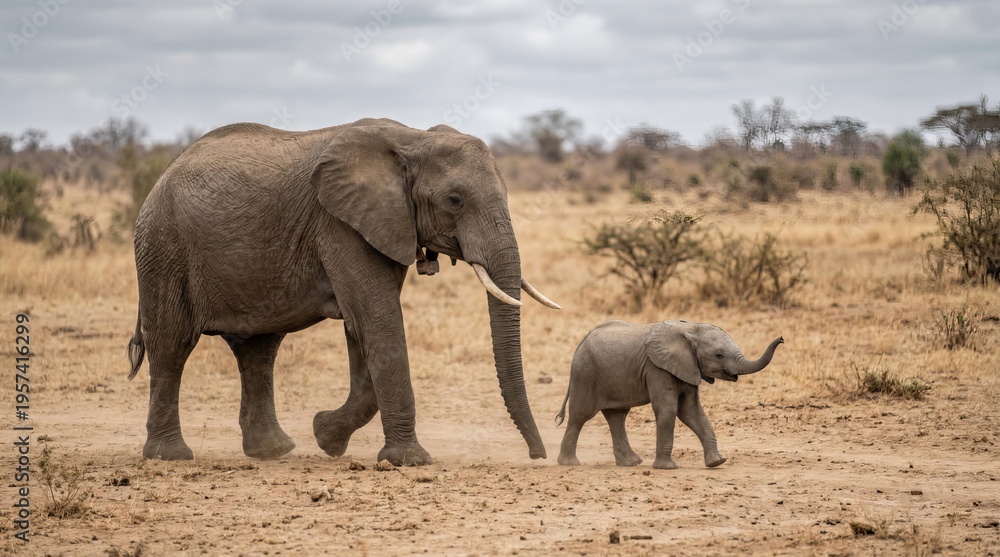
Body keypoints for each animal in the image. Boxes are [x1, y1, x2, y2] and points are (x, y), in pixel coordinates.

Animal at [126, 118, 560, 465]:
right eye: (455, 200)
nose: (539, 456)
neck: (413, 139)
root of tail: (162, 175)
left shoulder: (380, 225)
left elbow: (362, 330)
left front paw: (326, 436)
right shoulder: (341, 225)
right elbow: (377, 320)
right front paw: (410, 461)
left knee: (259, 350)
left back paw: (273, 451)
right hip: (163, 247)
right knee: (172, 345)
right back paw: (171, 456)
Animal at [555, 320, 783, 469]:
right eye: (719, 355)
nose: (781, 338)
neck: (691, 329)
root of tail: (582, 341)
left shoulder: (688, 366)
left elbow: (691, 412)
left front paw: (717, 462)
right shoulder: (657, 368)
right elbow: (669, 409)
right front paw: (667, 467)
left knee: (617, 416)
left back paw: (631, 463)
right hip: (585, 373)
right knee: (580, 416)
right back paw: (569, 463)